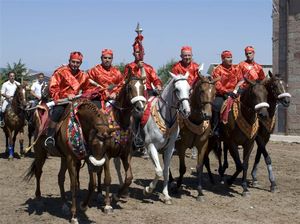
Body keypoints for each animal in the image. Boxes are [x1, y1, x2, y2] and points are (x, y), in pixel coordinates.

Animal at [79, 75, 146, 214]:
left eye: (143, 87)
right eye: (130, 88)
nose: (140, 108)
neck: (120, 122)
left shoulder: (126, 154)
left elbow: (129, 178)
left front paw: (116, 195)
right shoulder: (107, 155)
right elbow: (108, 179)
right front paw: (107, 205)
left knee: (98, 171)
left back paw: (100, 194)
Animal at [141, 72, 190, 205]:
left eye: (189, 89)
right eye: (177, 89)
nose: (186, 111)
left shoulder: (169, 148)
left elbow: (165, 172)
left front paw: (166, 196)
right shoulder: (151, 146)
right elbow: (158, 171)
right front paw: (148, 190)